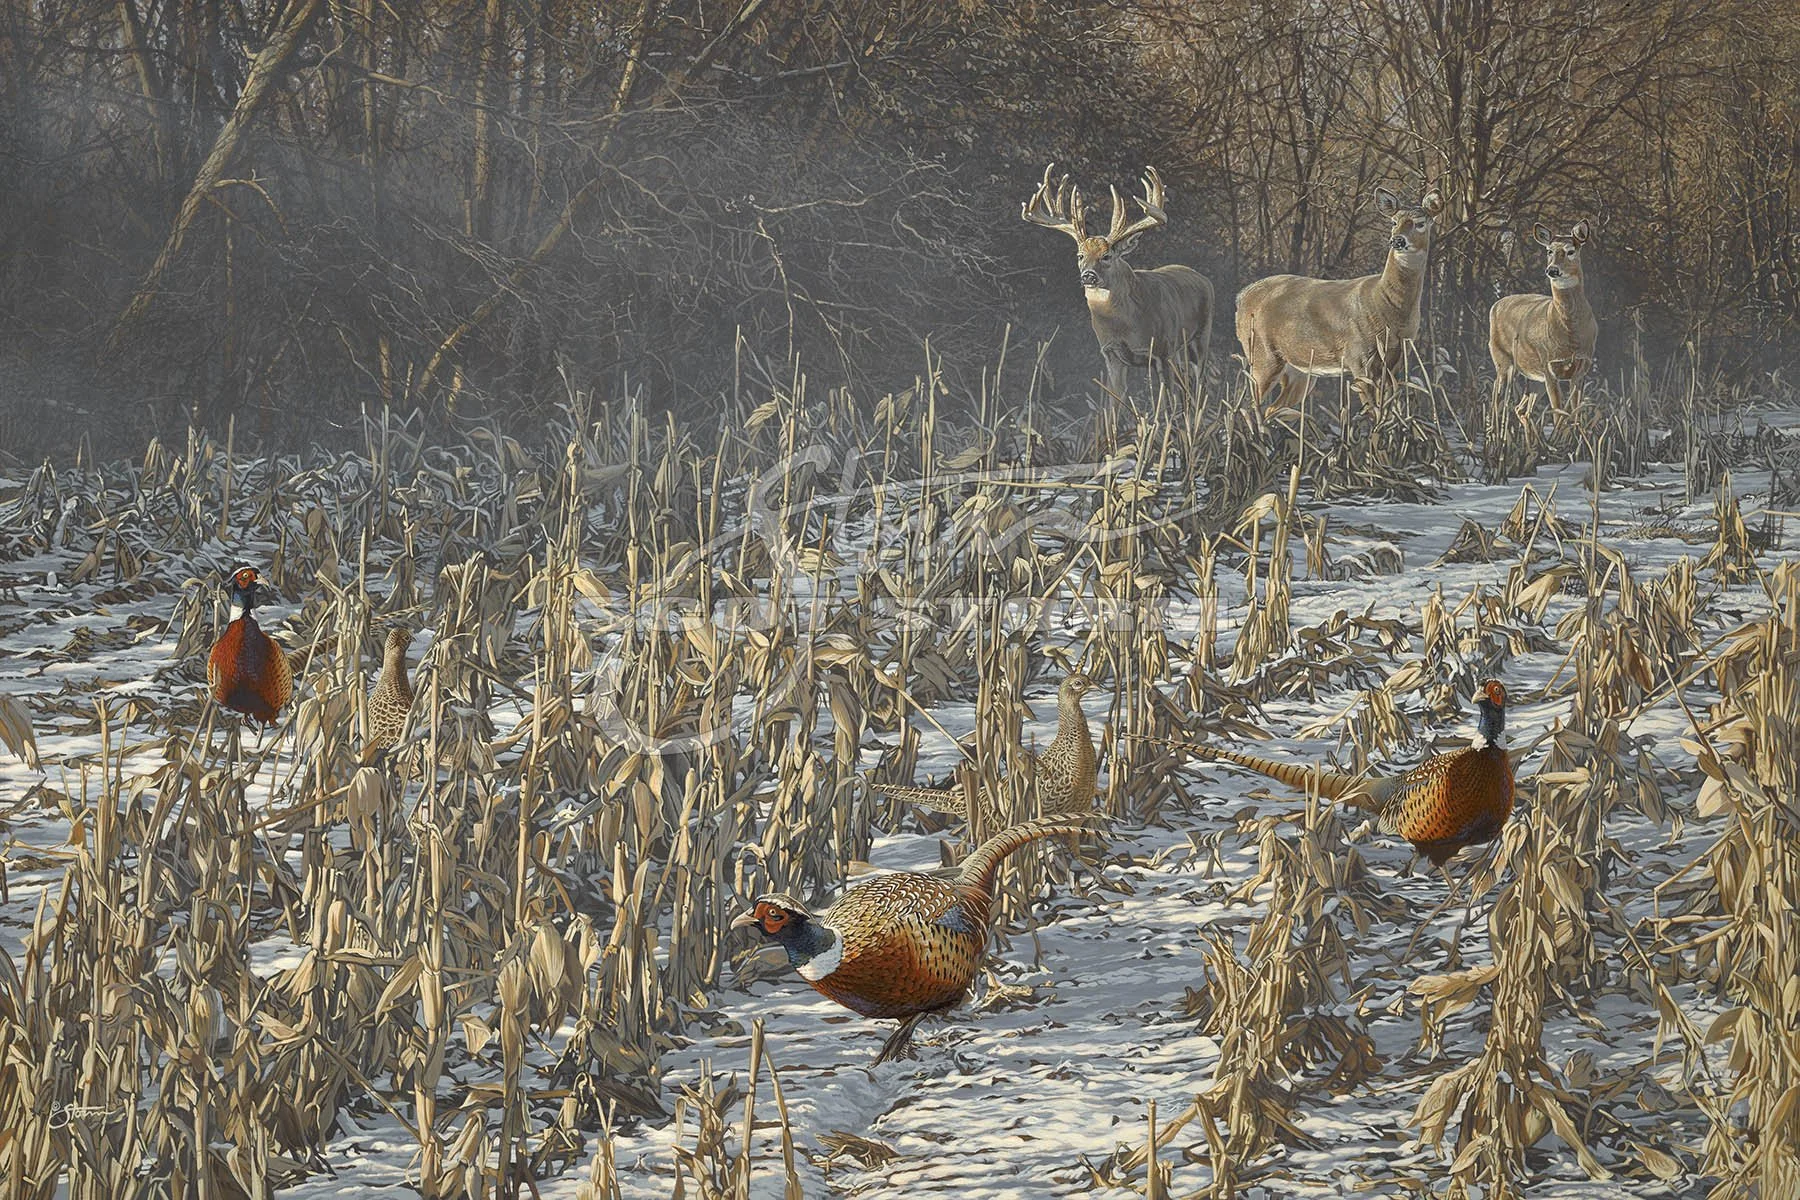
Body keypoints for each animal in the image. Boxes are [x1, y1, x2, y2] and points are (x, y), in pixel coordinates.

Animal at [1021, 164, 1214, 396]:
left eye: (1106, 256)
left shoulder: (1162, 349)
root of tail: (1203, 279)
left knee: (1199, 382)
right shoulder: (1111, 355)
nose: (1088, 275)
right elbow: (1116, 400)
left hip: (1201, 334)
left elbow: (1166, 400)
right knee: (1185, 382)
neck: (1125, 325)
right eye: (1080, 255)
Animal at [1234, 187, 1445, 412]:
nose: (1397, 240)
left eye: (1420, 222)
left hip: (1299, 370)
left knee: (1272, 410)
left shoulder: (1396, 360)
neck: (1388, 307)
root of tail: (1241, 296)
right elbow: (1372, 411)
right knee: (1249, 407)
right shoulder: (1358, 357)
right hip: (1261, 354)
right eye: (1393, 221)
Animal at [1489, 222, 1597, 414]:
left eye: (1571, 251)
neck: (1571, 335)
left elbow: (1573, 414)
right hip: (1503, 359)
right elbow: (1559, 413)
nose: (1552, 270)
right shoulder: (1549, 367)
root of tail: (1495, 305)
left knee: (1520, 409)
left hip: (1533, 376)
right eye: (1549, 251)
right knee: (1497, 400)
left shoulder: (1581, 369)